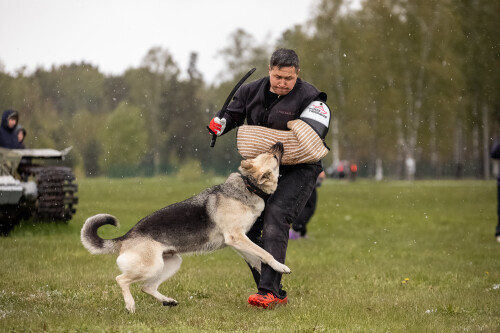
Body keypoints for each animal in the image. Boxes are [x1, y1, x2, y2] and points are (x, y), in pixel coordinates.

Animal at [81, 142, 290, 312]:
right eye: (272, 156)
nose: (279, 143)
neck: (248, 186)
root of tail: (125, 238)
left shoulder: (239, 242)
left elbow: (256, 260)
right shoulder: (236, 238)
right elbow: (265, 253)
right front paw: (280, 266)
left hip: (171, 262)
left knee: (146, 287)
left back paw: (167, 301)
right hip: (151, 267)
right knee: (121, 279)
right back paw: (130, 305)